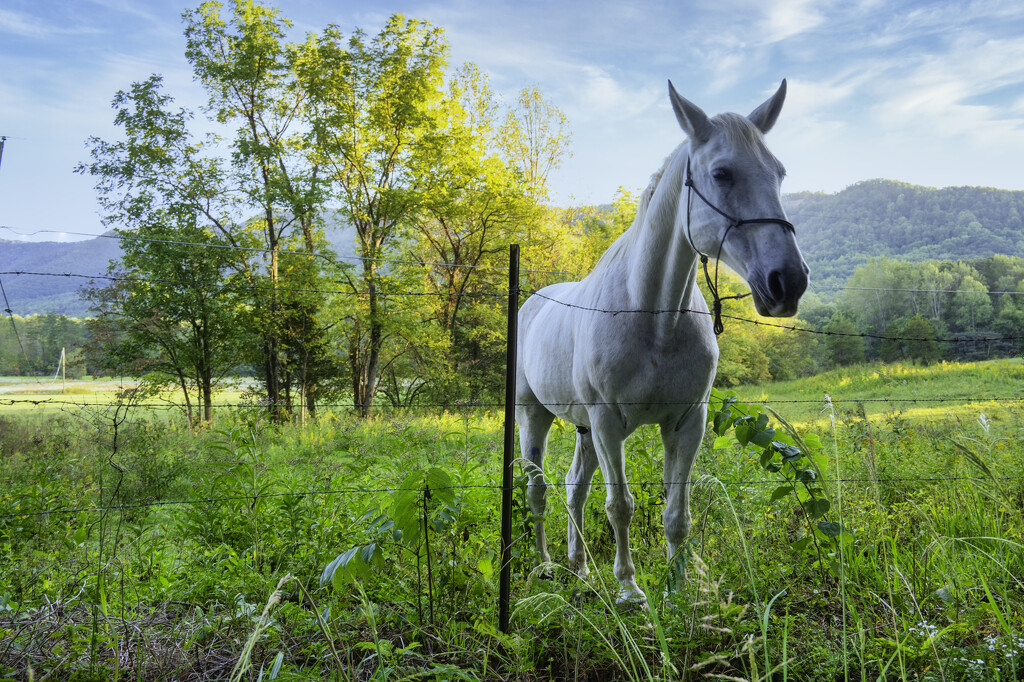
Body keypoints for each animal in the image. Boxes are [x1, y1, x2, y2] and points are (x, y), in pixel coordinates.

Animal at [516, 79, 811, 602]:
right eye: (721, 173)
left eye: (778, 173)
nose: (788, 282)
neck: (653, 318)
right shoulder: (608, 425)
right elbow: (621, 506)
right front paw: (630, 590)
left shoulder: (686, 422)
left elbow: (677, 511)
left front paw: (681, 586)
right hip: (534, 416)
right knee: (539, 490)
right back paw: (546, 565)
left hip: (582, 429)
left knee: (575, 487)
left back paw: (579, 567)